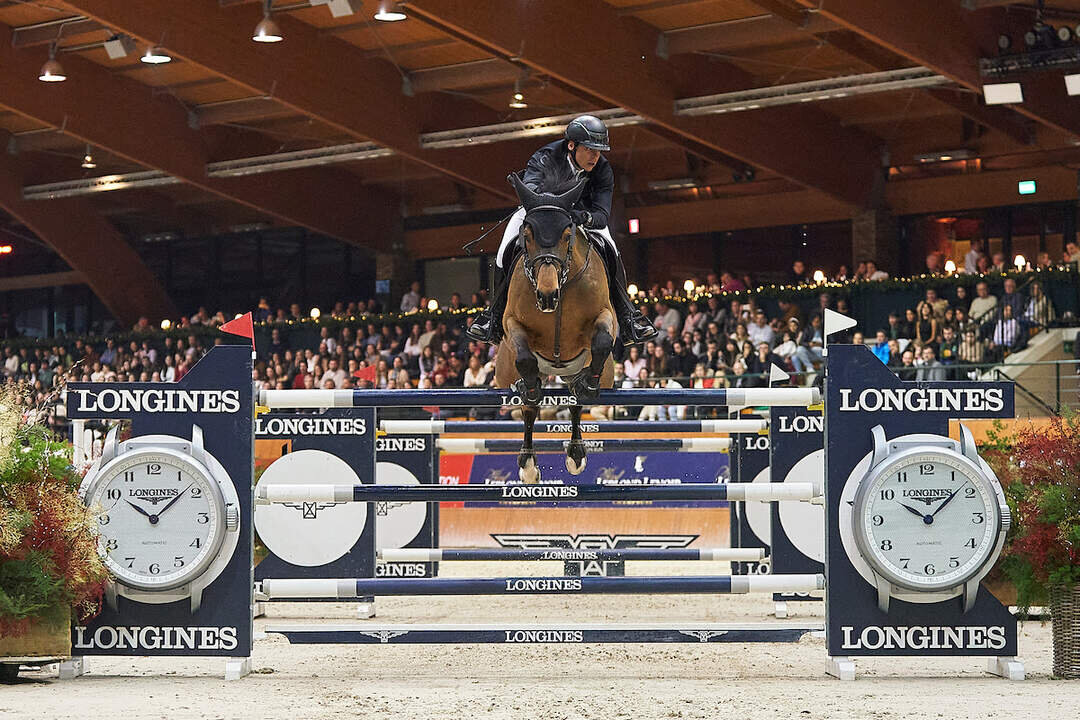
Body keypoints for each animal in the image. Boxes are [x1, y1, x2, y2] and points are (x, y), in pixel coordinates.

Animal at [494, 171, 617, 481]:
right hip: (504, 372)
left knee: (575, 402)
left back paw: (576, 453)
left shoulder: (605, 316)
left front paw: (589, 384)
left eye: (566, 234)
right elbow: (525, 359)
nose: (547, 296)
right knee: (527, 409)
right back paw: (528, 464)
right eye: (527, 236)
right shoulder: (512, 323)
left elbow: (601, 341)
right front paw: (531, 388)